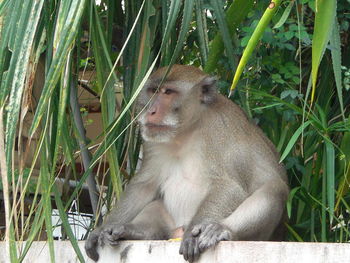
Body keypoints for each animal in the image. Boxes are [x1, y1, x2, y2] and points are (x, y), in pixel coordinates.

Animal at [84, 65, 288, 262]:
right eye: (154, 91)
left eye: (168, 92)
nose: (151, 111)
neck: (186, 129)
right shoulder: (151, 137)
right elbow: (145, 185)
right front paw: (100, 230)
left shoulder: (219, 129)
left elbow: (229, 186)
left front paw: (195, 233)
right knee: (156, 206)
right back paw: (132, 231)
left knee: (274, 189)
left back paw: (221, 229)